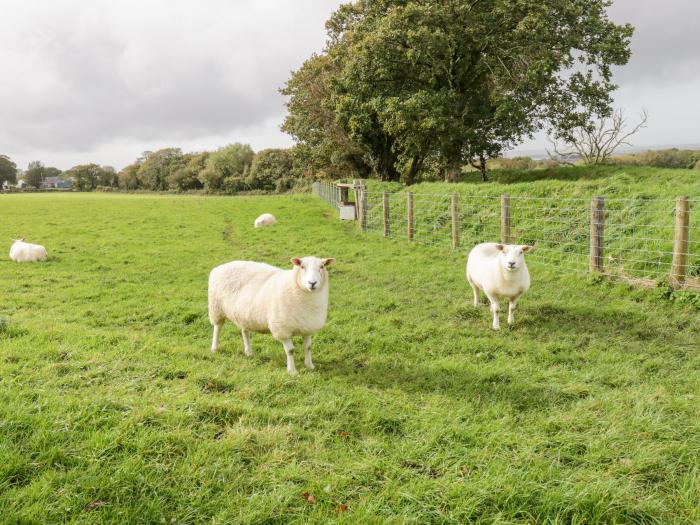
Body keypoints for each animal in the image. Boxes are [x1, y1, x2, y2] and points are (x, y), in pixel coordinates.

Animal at [208, 255, 336, 372]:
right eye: (302, 267)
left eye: (322, 266)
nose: (312, 283)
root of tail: (220, 267)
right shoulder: (282, 329)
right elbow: (290, 350)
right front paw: (292, 371)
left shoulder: (307, 327)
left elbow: (308, 347)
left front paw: (310, 366)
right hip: (216, 308)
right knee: (217, 328)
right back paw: (214, 348)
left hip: (243, 314)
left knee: (245, 332)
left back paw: (248, 352)